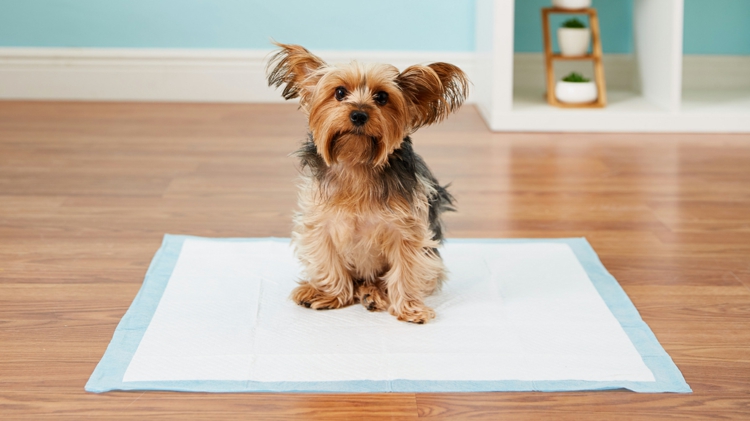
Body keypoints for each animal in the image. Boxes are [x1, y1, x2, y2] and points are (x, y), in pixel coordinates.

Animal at [268, 42, 470, 324]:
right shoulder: (320, 221)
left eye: (382, 97)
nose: (358, 114)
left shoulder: (408, 229)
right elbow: (328, 259)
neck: (357, 164)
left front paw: (409, 307)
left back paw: (373, 293)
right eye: (339, 92)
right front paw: (329, 294)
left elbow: (406, 267)